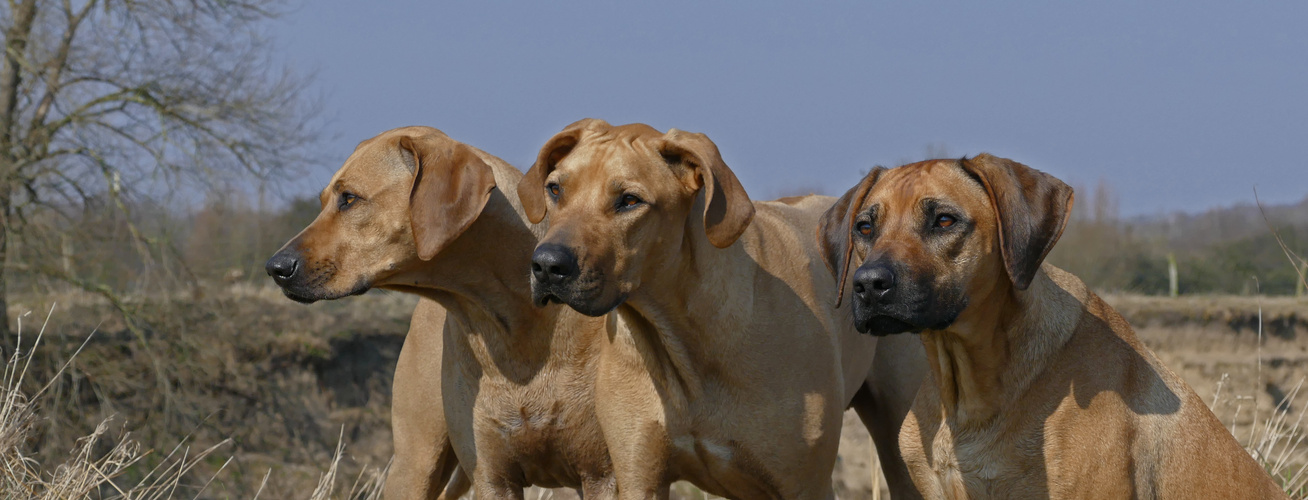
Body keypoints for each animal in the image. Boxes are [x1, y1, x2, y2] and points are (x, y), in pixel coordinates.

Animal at [265, 127, 617, 499]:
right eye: (323, 201)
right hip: (415, 464)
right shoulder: (492, 477)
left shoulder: (602, 474)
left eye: (348, 198)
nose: (275, 268)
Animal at [515, 119, 926, 497]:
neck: (685, 337)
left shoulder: (805, 483)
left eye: (629, 200)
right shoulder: (637, 474)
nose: (547, 265)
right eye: (555, 189)